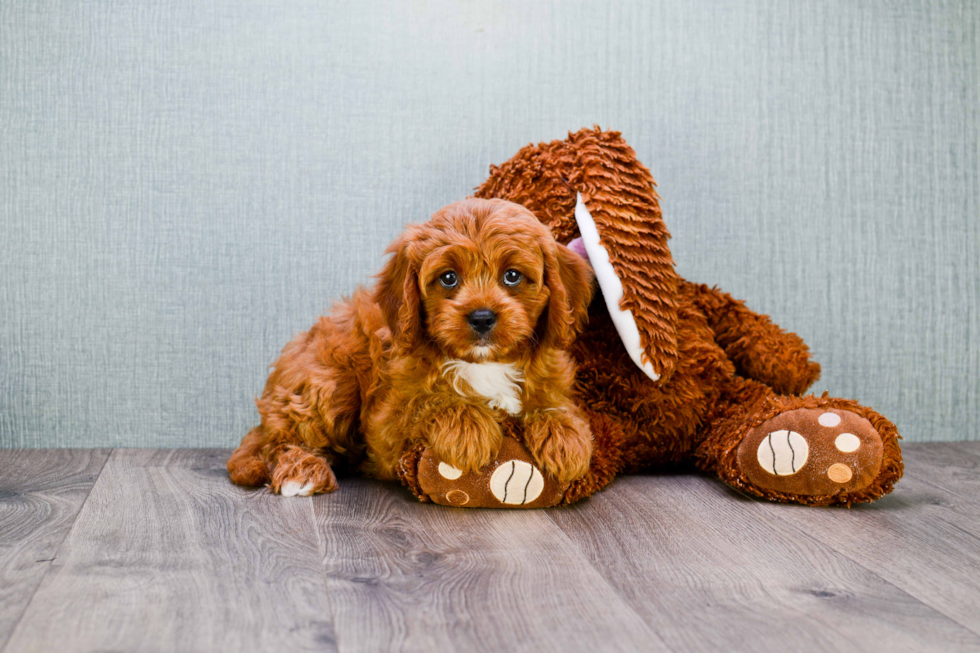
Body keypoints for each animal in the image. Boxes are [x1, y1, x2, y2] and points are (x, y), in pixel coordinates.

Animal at [229, 197, 592, 494]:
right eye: (448, 278)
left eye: (512, 276)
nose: (481, 317)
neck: (484, 364)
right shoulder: (386, 428)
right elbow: (429, 403)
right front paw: (468, 429)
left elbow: (554, 404)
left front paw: (566, 435)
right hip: (328, 381)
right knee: (282, 439)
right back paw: (301, 471)